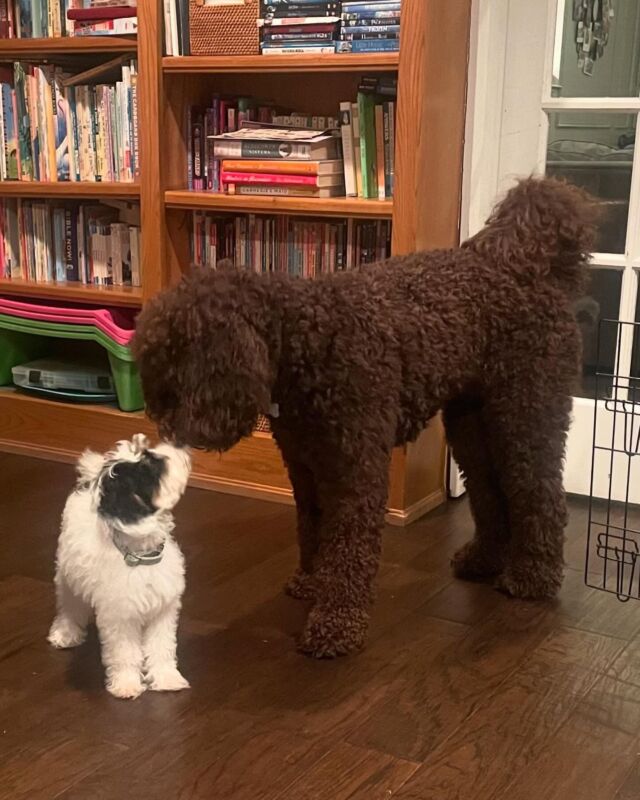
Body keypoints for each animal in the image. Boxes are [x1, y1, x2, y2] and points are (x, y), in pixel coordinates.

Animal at [47, 432, 190, 700]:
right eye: (151, 467)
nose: (179, 445)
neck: (141, 557)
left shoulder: (163, 611)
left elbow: (162, 647)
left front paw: (166, 678)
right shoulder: (120, 618)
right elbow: (125, 653)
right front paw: (126, 684)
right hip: (68, 575)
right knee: (69, 606)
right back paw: (66, 633)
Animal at [135, 180, 600, 656]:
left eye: (184, 369)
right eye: (159, 378)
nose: (168, 432)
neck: (308, 341)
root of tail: (526, 267)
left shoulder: (356, 471)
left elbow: (349, 547)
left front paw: (337, 623)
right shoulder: (307, 468)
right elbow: (313, 529)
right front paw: (312, 581)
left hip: (527, 414)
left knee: (541, 494)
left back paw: (532, 577)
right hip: (472, 427)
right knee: (491, 491)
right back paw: (484, 560)